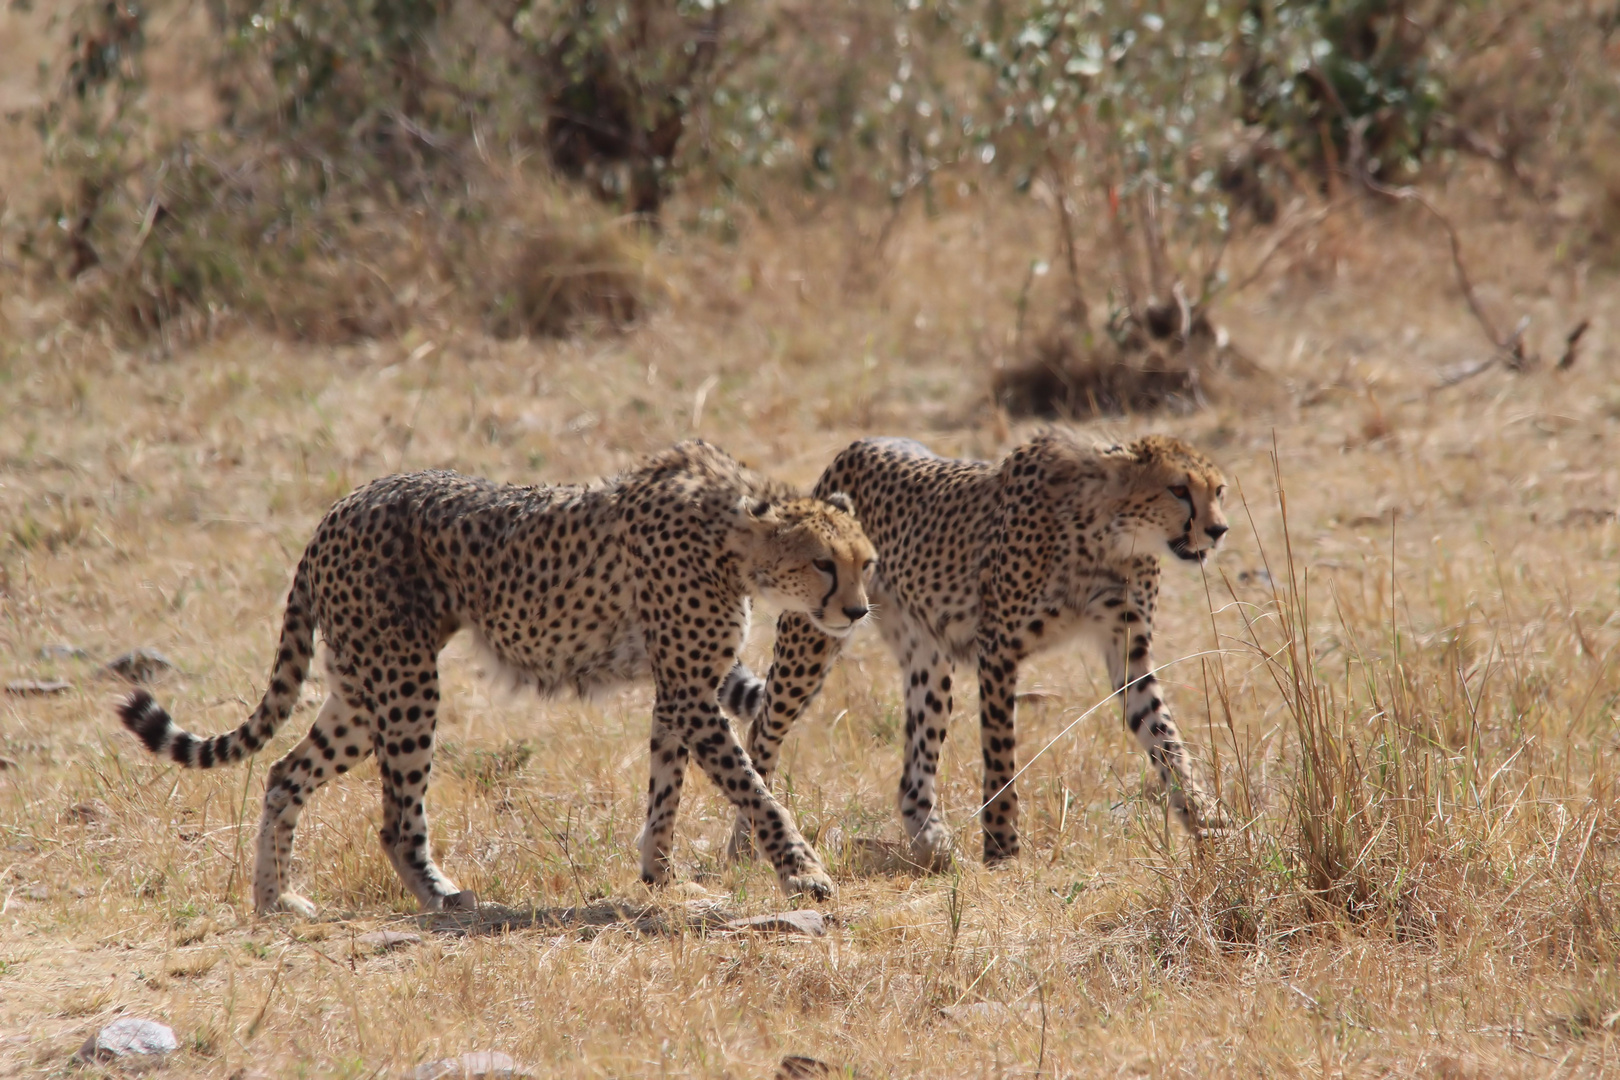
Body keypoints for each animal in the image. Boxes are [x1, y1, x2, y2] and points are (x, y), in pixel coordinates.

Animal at [117, 440, 874, 913]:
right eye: (822, 563)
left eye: (865, 561)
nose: (859, 610)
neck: (734, 539)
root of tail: (341, 506)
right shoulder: (691, 690)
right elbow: (753, 789)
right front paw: (803, 873)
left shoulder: (680, 691)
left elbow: (667, 788)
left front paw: (661, 877)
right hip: (405, 682)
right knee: (395, 819)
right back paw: (441, 896)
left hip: (362, 693)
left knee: (283, 773)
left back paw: (276, 900)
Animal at [732, 430, 1224, 867]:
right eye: (1178, 489)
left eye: (1218, 490)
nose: (1218, 529)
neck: (1111, 535)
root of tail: (858, 444)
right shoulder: (999, 649)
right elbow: (1001, 757)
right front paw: (1003, 849)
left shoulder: (1129, 653)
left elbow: (1166, 740)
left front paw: (1211, 827)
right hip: (813, 637)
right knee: (761, 731)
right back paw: (746, 845)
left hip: (929, 661)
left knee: (914, 768)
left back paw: (932, 843)